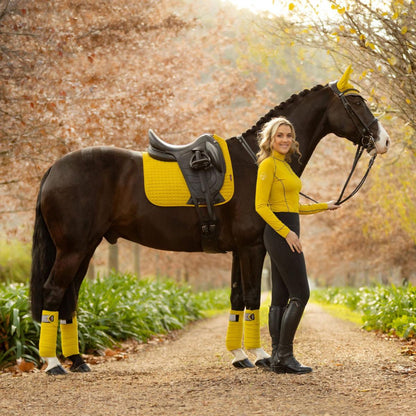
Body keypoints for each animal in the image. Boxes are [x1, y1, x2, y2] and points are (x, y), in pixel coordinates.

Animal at [30, 67, 390, 374]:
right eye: (356, 101)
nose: (383, 140)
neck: (255, 161)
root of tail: (55, 168)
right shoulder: (252, 247)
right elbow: (252, 298)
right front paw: (260, 355)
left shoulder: (238, 250)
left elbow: (237, 299)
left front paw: (239, 356)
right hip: (73, 249)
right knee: (53, 293)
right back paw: (53, 364)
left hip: (86, 248)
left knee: (70, 299)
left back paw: (78, 361)